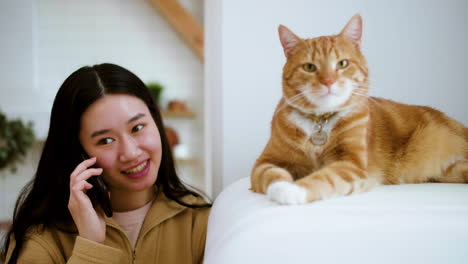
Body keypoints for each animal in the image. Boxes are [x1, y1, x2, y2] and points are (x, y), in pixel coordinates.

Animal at [250, 13, 468, 204]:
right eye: (309, 67)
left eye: (342, 64)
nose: (328, 81)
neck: (320, 121)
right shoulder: (264, 162)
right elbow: (271, 174)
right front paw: (281, 185)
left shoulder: (352, 165)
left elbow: (324, 177)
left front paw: (293, 190)